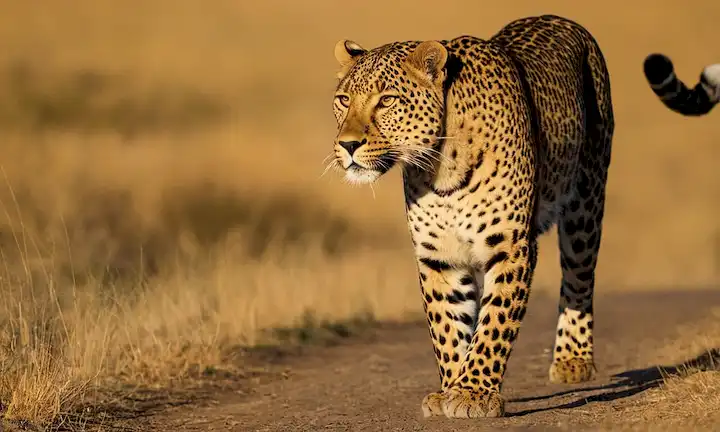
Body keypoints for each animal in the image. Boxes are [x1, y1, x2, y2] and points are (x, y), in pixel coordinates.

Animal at [329, 14, 613, 418]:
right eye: (343, 100)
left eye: (387, 101)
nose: (347, 145)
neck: (439, 166)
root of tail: (561, 19)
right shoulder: (439, 255)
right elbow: (447, 324)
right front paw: (451, 387)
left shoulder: (509, 245)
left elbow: (495, 322)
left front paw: (473, 392)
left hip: (585, 203)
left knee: (579, 277)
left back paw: (573, 359)